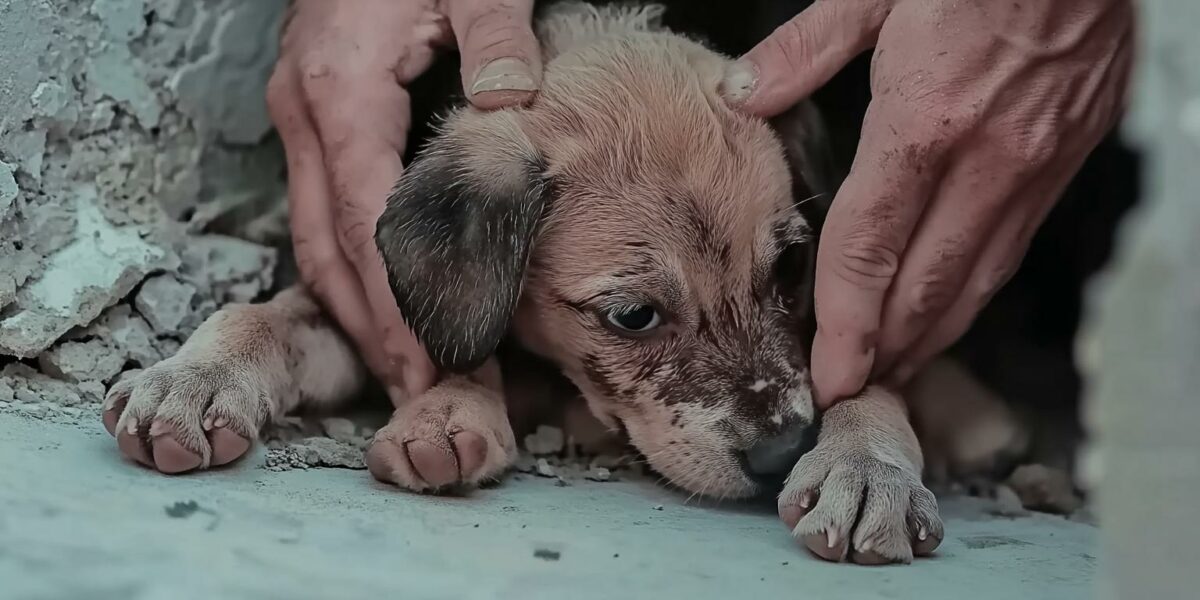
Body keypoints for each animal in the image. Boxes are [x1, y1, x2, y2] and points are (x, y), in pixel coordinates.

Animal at [103, 3, 940, 561]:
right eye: (633, 316)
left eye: (793, 268)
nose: (781, 452)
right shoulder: (363, 302)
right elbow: (271, 316)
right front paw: (194, 380)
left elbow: (867, 373)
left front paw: (863, 466)